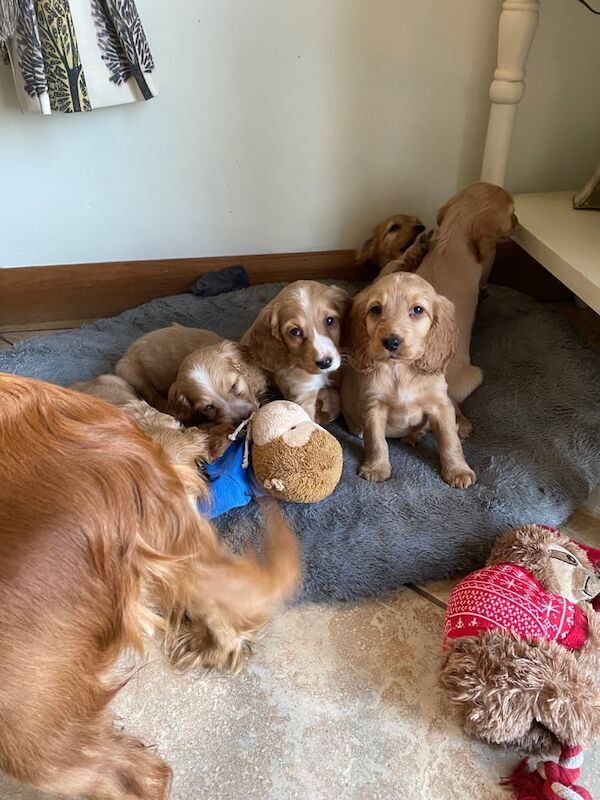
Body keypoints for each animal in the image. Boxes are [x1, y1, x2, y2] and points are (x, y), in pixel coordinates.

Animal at [340, 274, 476, 488]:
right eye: (376, 309)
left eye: (418, 310)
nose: (391, 342)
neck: (400, 370)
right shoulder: (373, 407)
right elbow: (376, 441)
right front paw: (376, 468)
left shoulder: (440, 404)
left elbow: (449, 439)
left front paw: (458, 471)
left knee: (455, 405)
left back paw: (461, 424)